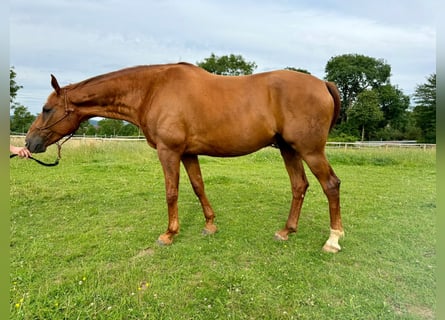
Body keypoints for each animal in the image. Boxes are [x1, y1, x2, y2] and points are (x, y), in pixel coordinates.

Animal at [24, 62, 344, 252]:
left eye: (46, 109)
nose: (29, 142)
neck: (152, 90)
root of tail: (322, 84)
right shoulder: (189, 153)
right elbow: (198, 187)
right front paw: (210, 225)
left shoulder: (169, 151)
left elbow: (172, 192)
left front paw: (169, 233)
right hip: (289, 149)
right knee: (299, 186)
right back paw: (286, 231)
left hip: (310, 150)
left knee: (330, 185)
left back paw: (333, 239)